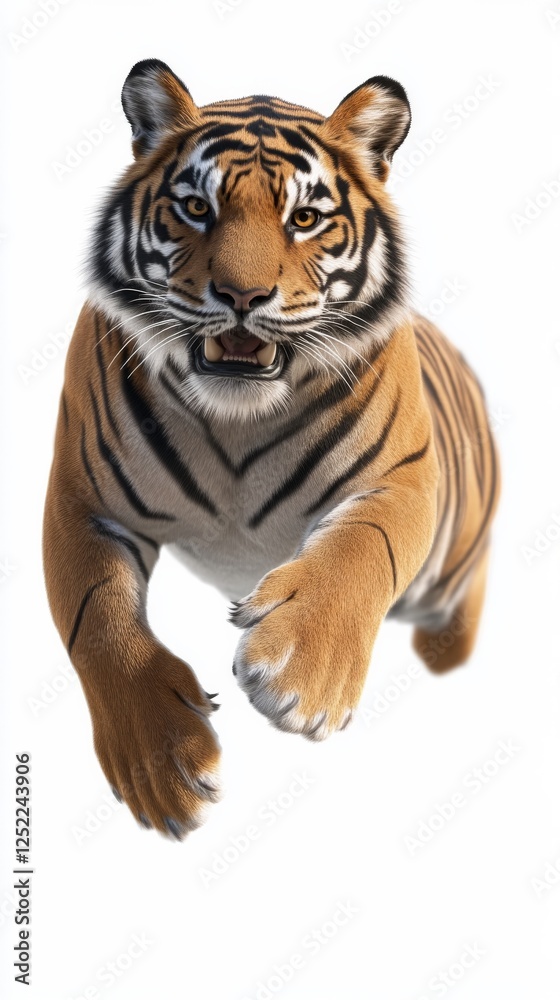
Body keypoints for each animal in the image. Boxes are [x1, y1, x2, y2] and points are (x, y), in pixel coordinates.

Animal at [43, 59, 500, 840]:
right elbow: (97, 620)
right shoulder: (80, 499)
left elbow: (362, 549)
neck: (237, 419)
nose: (241, 296)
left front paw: (299, 673)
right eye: (197, 208)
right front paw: (161, 766)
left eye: (305, 219)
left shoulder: (403, 481)